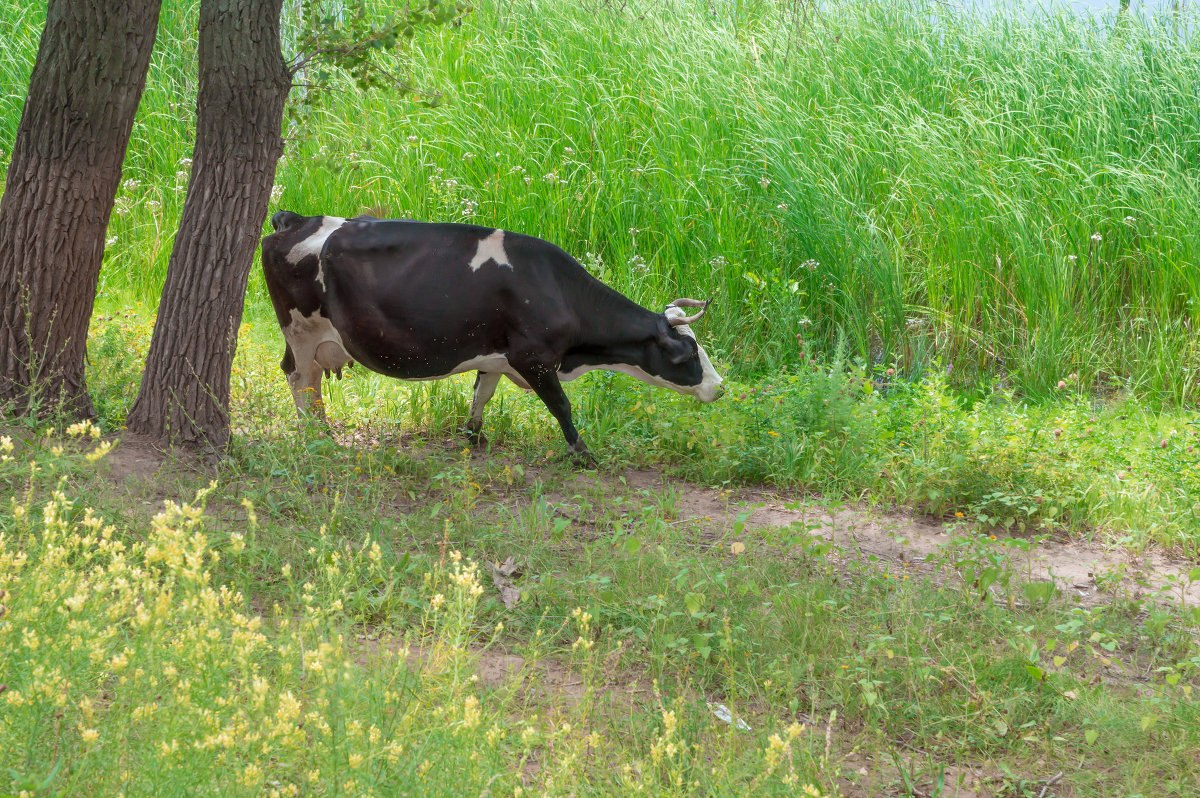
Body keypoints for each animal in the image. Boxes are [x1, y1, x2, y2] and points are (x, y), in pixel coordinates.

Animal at [260, 211, 720, 460]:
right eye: (686, 356)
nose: (719, 387)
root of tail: (294, 220)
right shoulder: (534, 358)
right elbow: (562, 406)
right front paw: (583, 454)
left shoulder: (496, 356)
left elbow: (482, 394)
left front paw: (473, 436)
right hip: (300, 330)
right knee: (298, 378)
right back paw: (312, 436)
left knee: (310, 380)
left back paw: (322, 430)